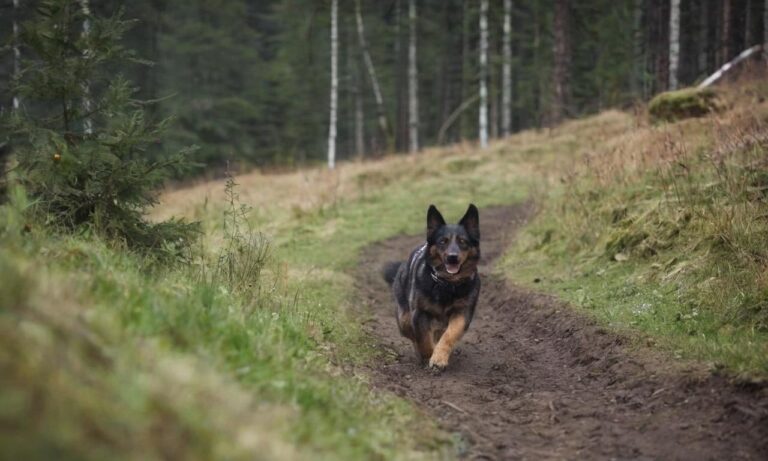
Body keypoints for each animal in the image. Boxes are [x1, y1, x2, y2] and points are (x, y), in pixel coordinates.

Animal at [384, 204, 480, 370]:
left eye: (463, 241)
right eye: (442, 241)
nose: (452, 257)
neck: (447, 284)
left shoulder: (462, 313)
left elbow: (449, 335)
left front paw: (439, 358)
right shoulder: (420, 313)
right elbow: (423, 340)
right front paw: (429, 355)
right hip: (404, 318)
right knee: (411, 331)